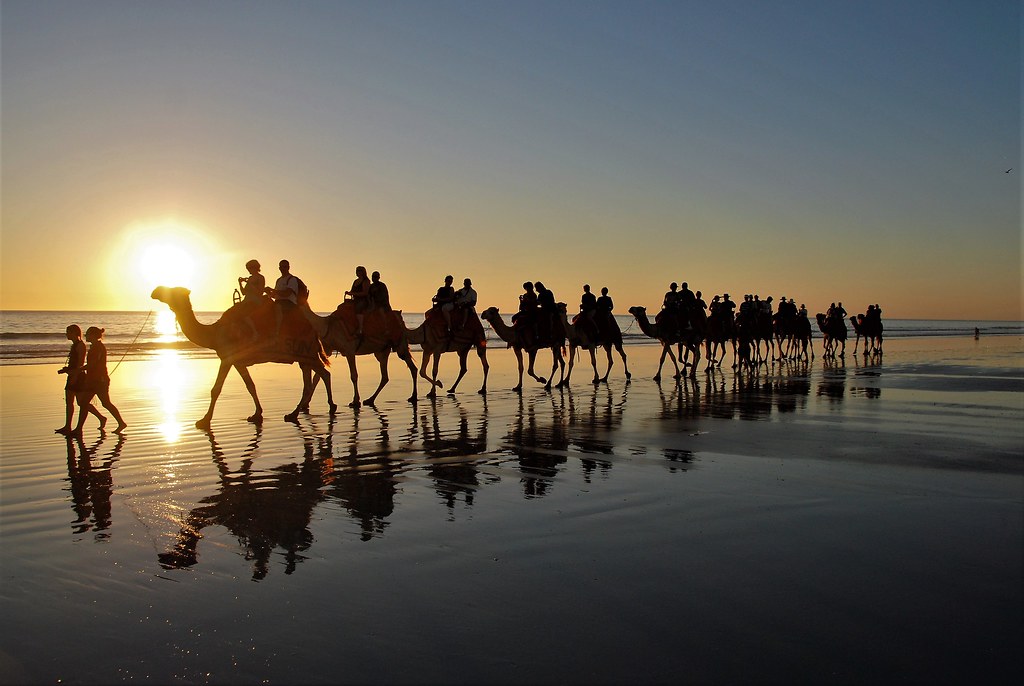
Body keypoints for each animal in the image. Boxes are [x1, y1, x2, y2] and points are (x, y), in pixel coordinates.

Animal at [149, 286, 333, 430]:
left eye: (174, 290)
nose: (155, 291)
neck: (214, 333)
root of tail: (313, 330)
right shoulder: (238, 362)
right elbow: (250, 385)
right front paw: (257, 414)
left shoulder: (227, 358)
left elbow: (216, 389)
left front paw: (204, 420)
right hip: (304, 358)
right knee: (312, 380)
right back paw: (295, 413)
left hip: (308, 353)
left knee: (323, 374)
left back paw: (327, 407)